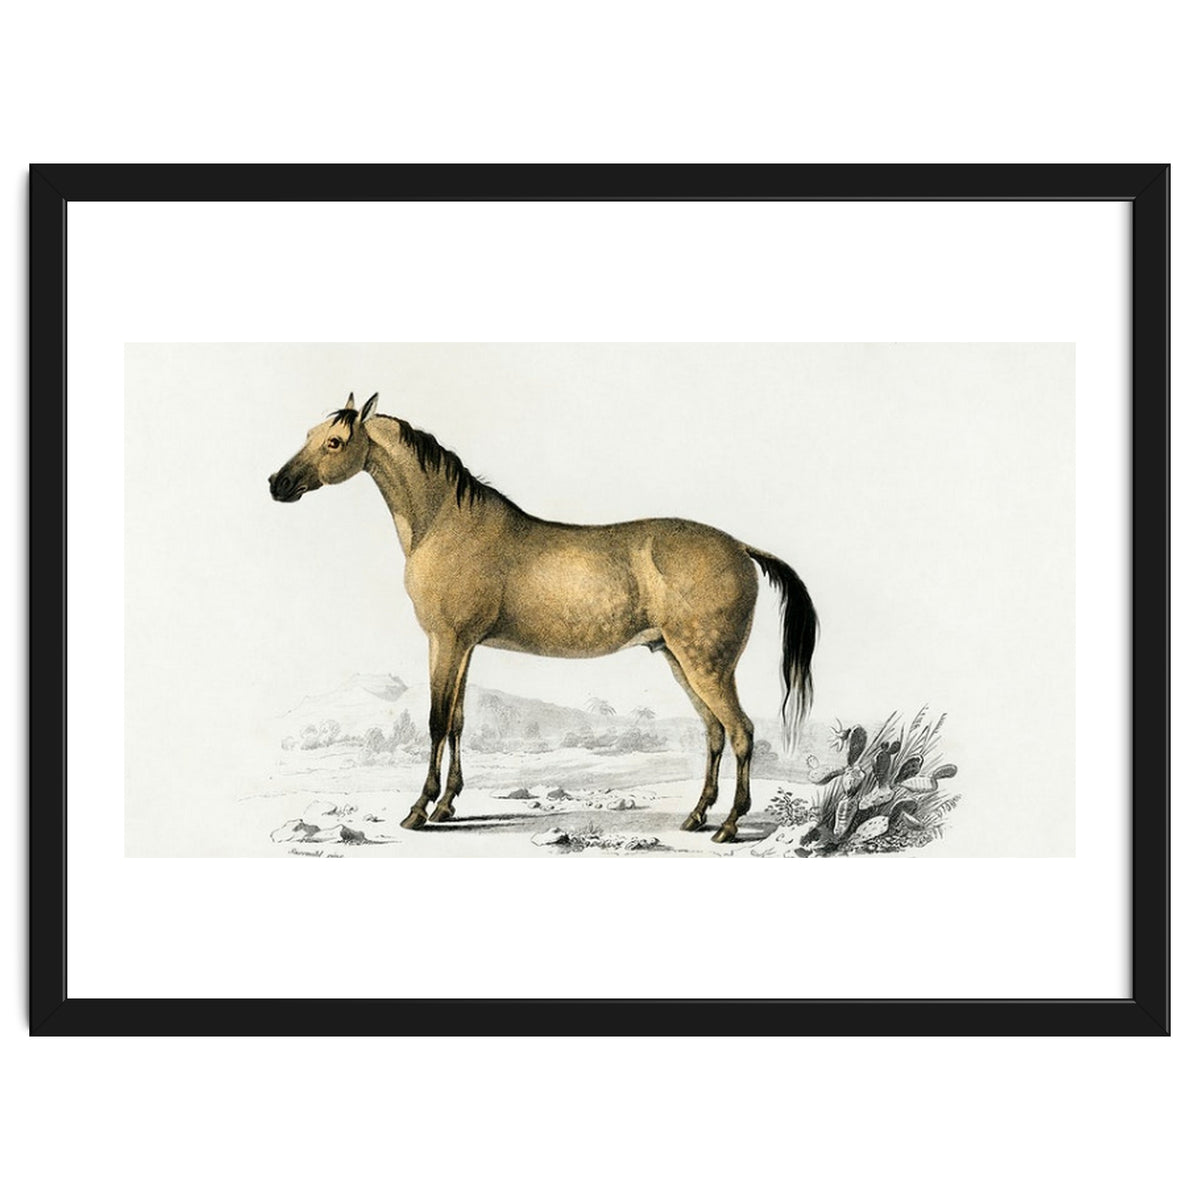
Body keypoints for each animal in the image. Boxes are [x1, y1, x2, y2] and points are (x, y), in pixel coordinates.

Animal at [269, 393, 817, 843]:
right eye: (309, 434)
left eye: (335, 441)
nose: (278, 484)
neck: (446, 523)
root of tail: (740, 547)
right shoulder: (463, 646)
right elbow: (459, 722)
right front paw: (447, 805)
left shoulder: (445, 640)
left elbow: (436, 721)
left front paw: (419, 810)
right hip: (680, 661)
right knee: (715, 732)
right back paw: (697, 816)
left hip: (707, 664)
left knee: (741, 731)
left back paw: (729, 825)